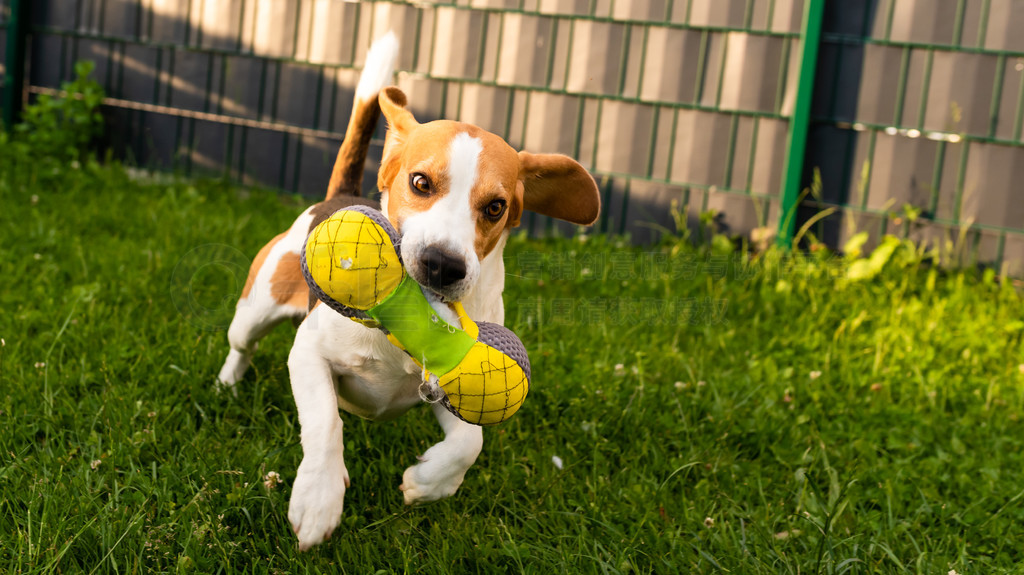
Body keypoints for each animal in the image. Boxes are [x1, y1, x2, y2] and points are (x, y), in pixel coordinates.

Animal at [216, 32, 598, 552]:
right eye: (420, 182)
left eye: (496, 207)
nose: (443, 263)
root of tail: (339, 196)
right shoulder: (309, 353)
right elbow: (324, 421)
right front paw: (318, 499)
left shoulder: (454, 389)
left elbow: (470, 442)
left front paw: (429, 482)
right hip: (258, 304)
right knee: (242, 344)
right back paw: (228, 383)